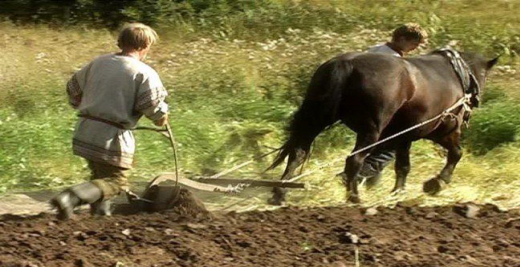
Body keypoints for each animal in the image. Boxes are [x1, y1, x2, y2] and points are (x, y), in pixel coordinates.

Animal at [268, 50, 500, 204]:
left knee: (298, 152)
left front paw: (398, 192)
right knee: (354, 160)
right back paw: (354, 198)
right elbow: (456, 153)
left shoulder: (404, 135)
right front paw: (436, 183)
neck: (458, 75)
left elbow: (403, 166)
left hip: (316, 119)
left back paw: (280, 193)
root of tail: (346, 64)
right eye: (485, 76)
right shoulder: (443, 130)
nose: (476, 101)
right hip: (371, 131)